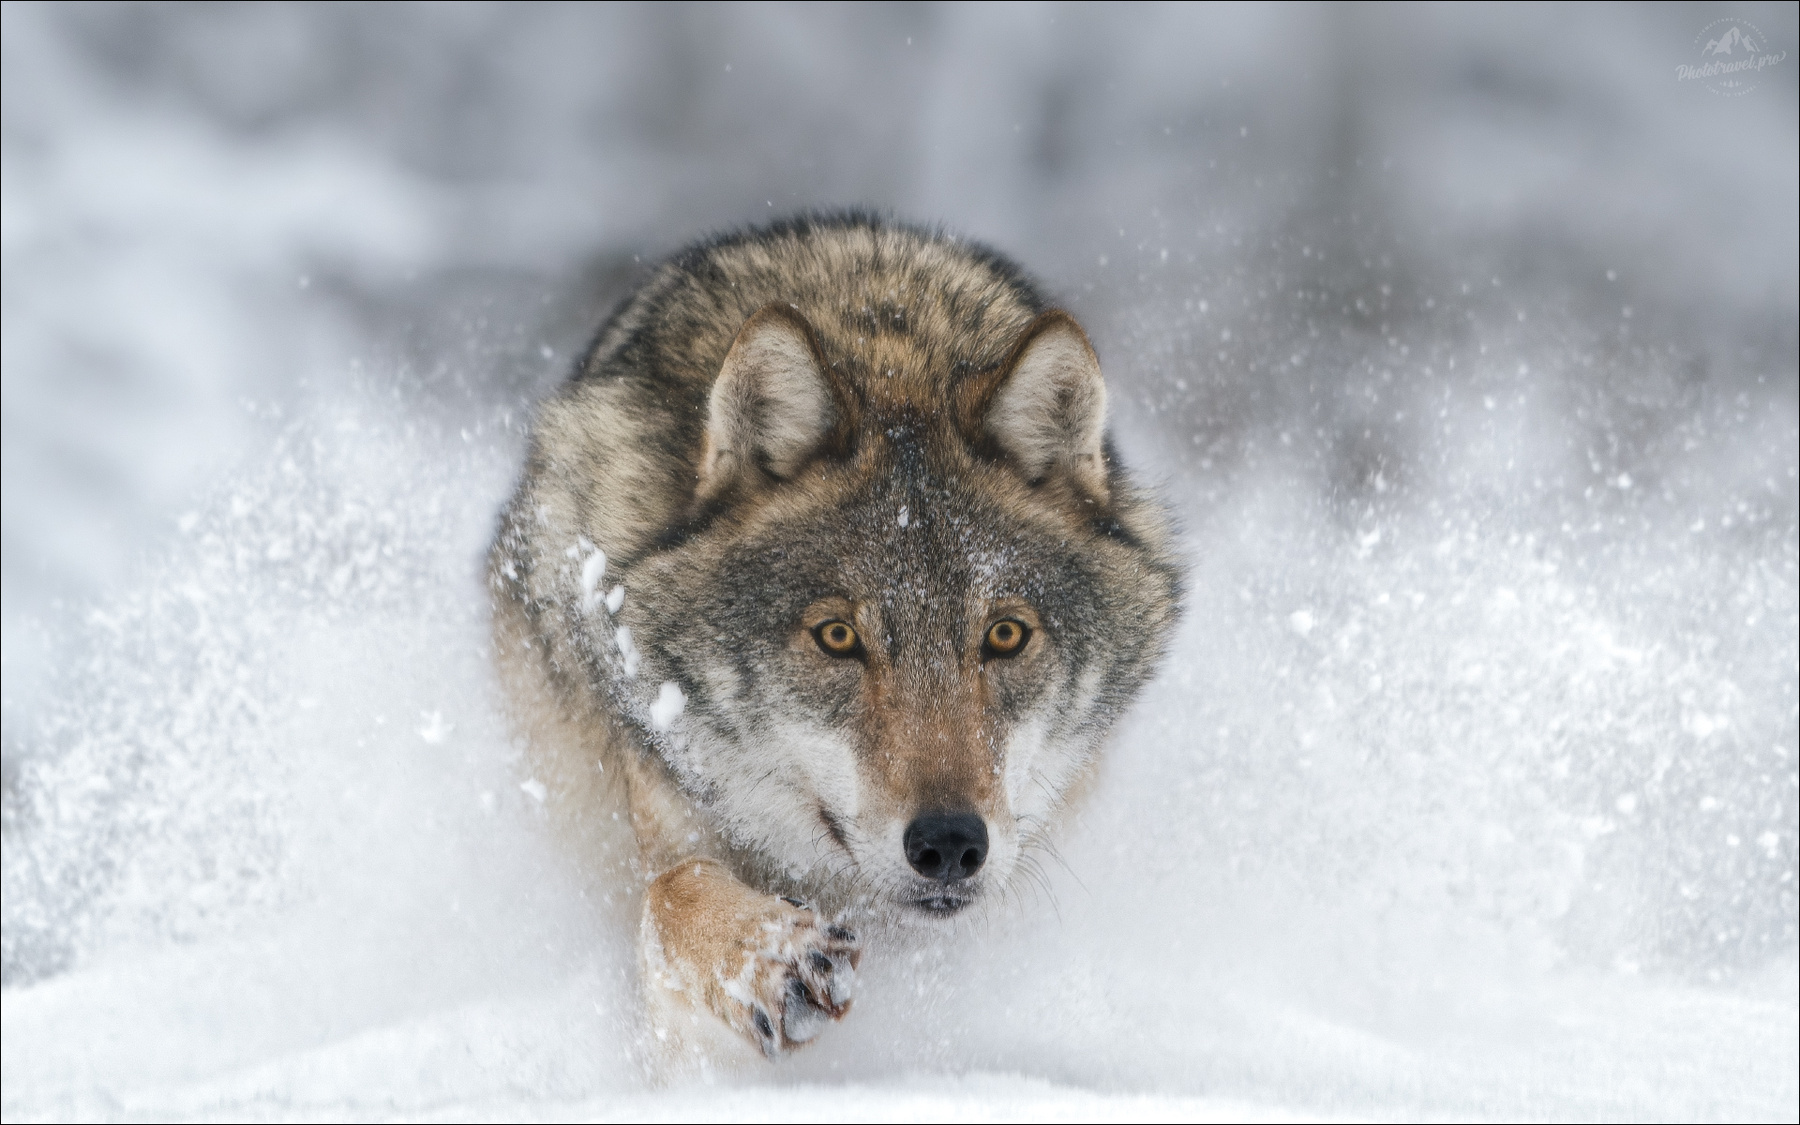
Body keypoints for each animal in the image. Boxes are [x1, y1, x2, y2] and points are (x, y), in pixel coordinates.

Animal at [488, 213, 1181, 1063]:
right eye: (838, 636)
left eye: (1006, 634)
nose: (950, 843)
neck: (887, 345)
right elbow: (671, 894)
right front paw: (770, 955)